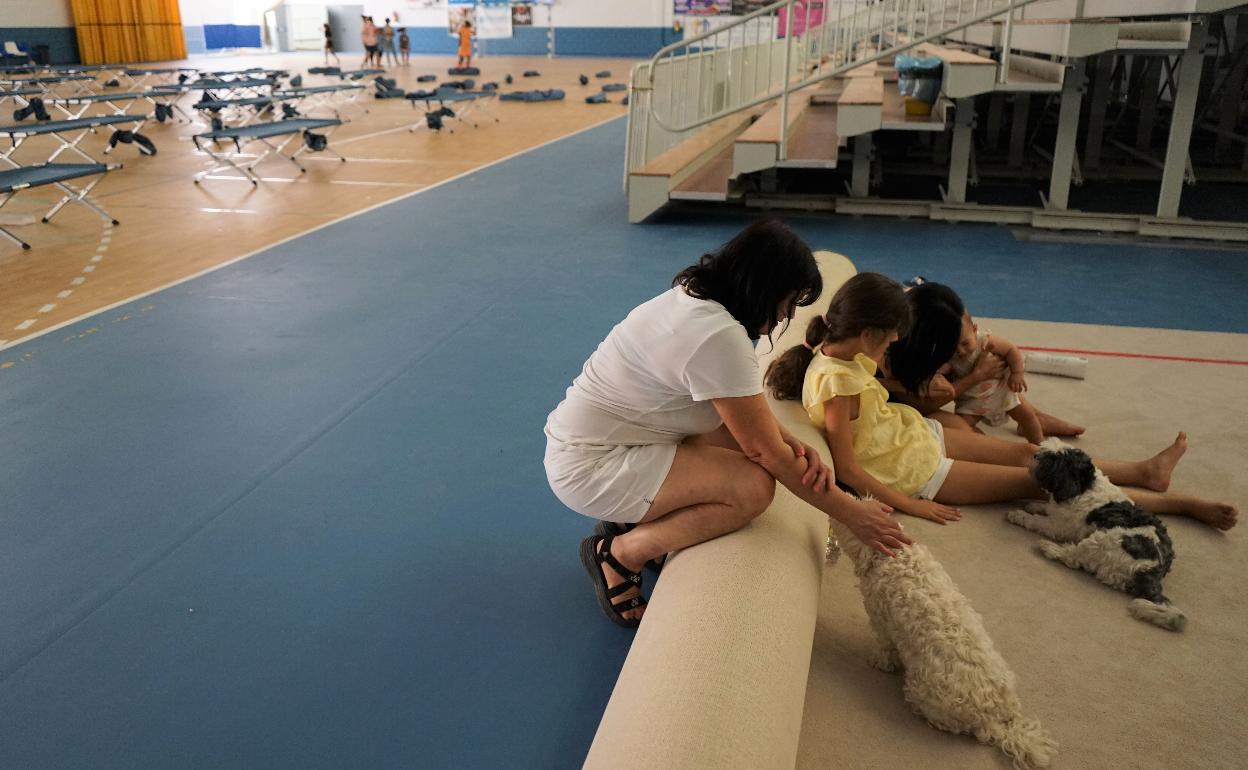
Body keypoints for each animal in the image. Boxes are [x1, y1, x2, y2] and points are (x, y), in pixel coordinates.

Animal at [828, 516, 1053, 768]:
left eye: (846, 525)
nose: (834, 515)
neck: (899, 556)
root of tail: (993, 717)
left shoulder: (880, 617)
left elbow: (885, 646)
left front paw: (881, 662)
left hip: (921, 691)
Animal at [1003, 439, 1188, 631]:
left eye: (1050, 461)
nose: (1035, 455)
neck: (1085, 486)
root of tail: (1153, 571)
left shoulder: (1059, 527)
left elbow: (1036, 521)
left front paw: (1019, 515)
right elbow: (1046, 508)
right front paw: (1034, 505)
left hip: (1102, 541)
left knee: (1074, 559)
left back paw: (1051, 548)